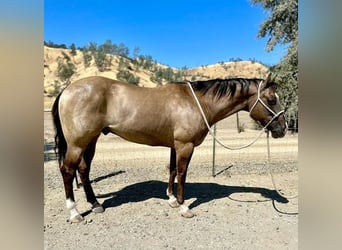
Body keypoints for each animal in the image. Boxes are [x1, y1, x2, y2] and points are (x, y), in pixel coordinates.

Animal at [51, 73, 286, 223]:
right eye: (271, 99)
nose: (282, 128)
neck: (197, 102)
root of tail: (67, 90)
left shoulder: (175, 146)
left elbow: (172, 170)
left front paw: (172, 200)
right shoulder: (185, 145)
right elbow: (182, 173)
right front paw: (184, 207)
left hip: (91, 141)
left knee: (83, 170)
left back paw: (95, 204)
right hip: (77, 143)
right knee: (68, 170)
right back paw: (75, 213)